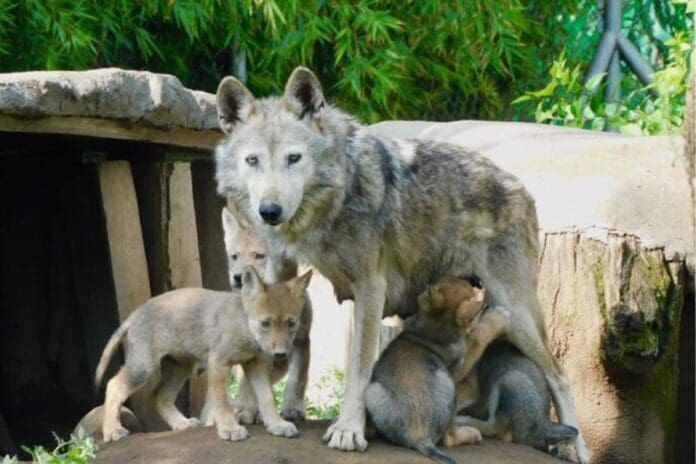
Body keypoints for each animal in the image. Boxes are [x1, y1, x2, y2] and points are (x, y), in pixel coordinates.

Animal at [95, 266, 312, 442]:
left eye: (291, 324)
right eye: (265, 324)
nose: (281, 354)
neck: (243, 328)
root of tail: (134, 314)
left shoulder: (255, 364)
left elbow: (266, 398)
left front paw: (277, 424)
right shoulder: (218, 363)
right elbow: (222, 401)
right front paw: (230, 429)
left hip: (179, 369)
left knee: (159, 397)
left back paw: (181, 424)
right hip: (143, 368)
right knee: (114, 386)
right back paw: (112, 431)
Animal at [219, 206, 312, 423]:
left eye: (259, 255)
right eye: (234, 257)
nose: (237, 277)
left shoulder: (301, 342)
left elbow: (296, 380)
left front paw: (292, 408)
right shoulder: (259, 354)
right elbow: (254, 388)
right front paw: (249, 411)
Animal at [366, 276, 509, 464]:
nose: (477, 281)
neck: (433, 329)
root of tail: (420, 437)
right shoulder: (461, 363)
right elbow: (478, 336)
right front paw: (497, 317)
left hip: (372, 391)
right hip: (449, 386)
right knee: (450, 438)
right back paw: (471, 433)